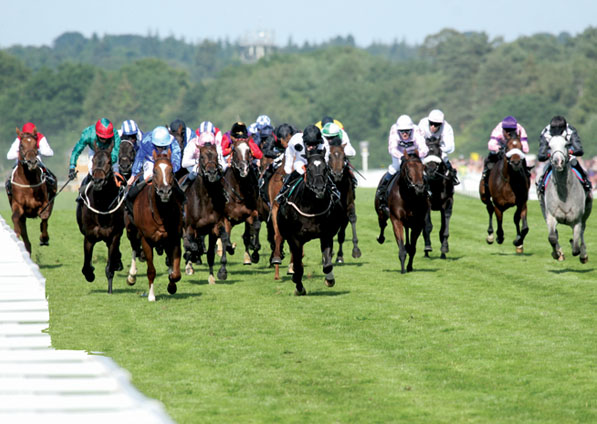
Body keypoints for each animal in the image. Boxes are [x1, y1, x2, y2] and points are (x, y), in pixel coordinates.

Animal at [75, 142, 125, 292]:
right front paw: (90, 274)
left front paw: (109, 289)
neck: (101, 206)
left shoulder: (114, 236)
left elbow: (109, 268)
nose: (98, 181)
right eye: (93, 161)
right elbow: (86, 267)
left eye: (109, 162)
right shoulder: (89, 236)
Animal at [130, 152, 184, 302]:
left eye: (171, 171)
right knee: (134, 247)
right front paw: (151, 295)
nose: (164, 191)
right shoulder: (146, 240)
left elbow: (176, 272)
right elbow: (151, 270)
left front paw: (172, 285)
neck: (161, 214)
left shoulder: (174, 239)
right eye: (155, 171)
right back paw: (131, 276)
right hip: (132, 230)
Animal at [179, 142, 230, 282]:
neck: (205, 199)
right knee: (189, 244)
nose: (211, 173)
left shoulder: (215, 225)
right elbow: (191, 245)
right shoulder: (190, 227)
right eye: (201, 157)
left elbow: (221, 240)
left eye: (217, 156)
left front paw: (220, 272)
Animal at [274, 152, 340, 294]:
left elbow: (327, 264)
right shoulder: (295, 238)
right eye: (308, 169)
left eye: (325, 169)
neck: (311, 207)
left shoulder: (326, 235)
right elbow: (298, 266)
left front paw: (329, 280)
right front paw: (299, 287)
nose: (319, 189)